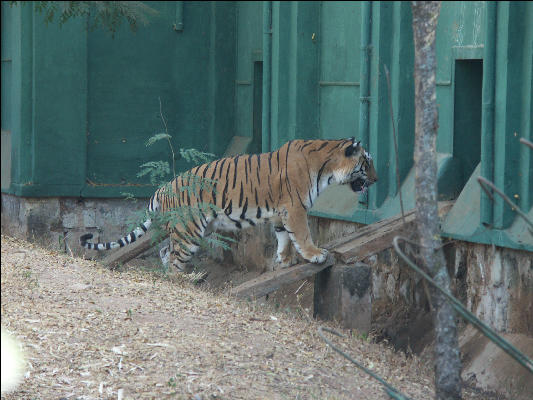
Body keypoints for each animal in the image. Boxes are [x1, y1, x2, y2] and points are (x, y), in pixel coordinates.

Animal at [80, 138, 378, 272]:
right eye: (367, 162)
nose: (376, 179)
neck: (326, 167)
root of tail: (162, 189)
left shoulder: (281, 213)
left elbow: (283, 237)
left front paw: (285, 259)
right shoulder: (295, 208)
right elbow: (302, 234)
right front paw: (315, 254)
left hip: (187, 228)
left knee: (166, 252)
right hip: (189, 231)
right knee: (175, 258)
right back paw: (185, 280)